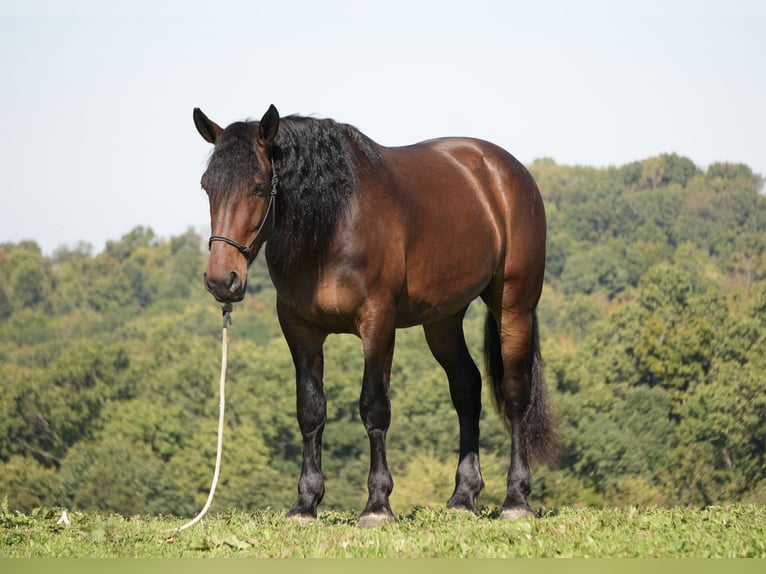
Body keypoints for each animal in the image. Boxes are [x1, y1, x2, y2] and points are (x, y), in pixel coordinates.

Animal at [193, 104, 552, 527]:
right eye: (207, 186)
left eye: (259, 187)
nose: (222, 280)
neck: (332, 227)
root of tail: (505, 170)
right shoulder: (299, 328)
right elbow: (310, 410)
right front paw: (305, 503)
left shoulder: (378, 322)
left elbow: (374, 407)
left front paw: (378, 504)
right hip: (443, 320)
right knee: (467, 388)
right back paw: (463, 497)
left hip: (514, 307)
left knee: (515, 394)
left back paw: (516, 499)